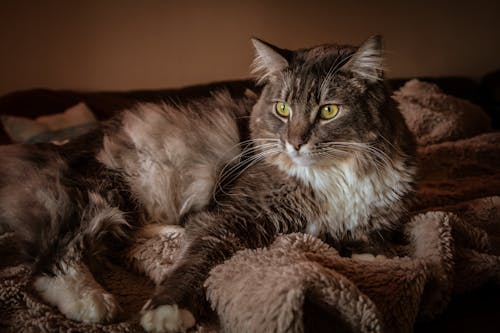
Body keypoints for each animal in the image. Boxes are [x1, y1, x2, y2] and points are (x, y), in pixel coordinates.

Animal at [0, 35, 414, 330]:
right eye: (282, 109)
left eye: (328, 111)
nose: (294, 143)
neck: (334, 175)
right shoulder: (233, 216)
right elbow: (199, 260)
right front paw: (168, 311)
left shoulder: (376, 217)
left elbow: (377, 243)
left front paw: (375, 257)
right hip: (104, 194)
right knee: (50, 260)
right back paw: (92, 302)